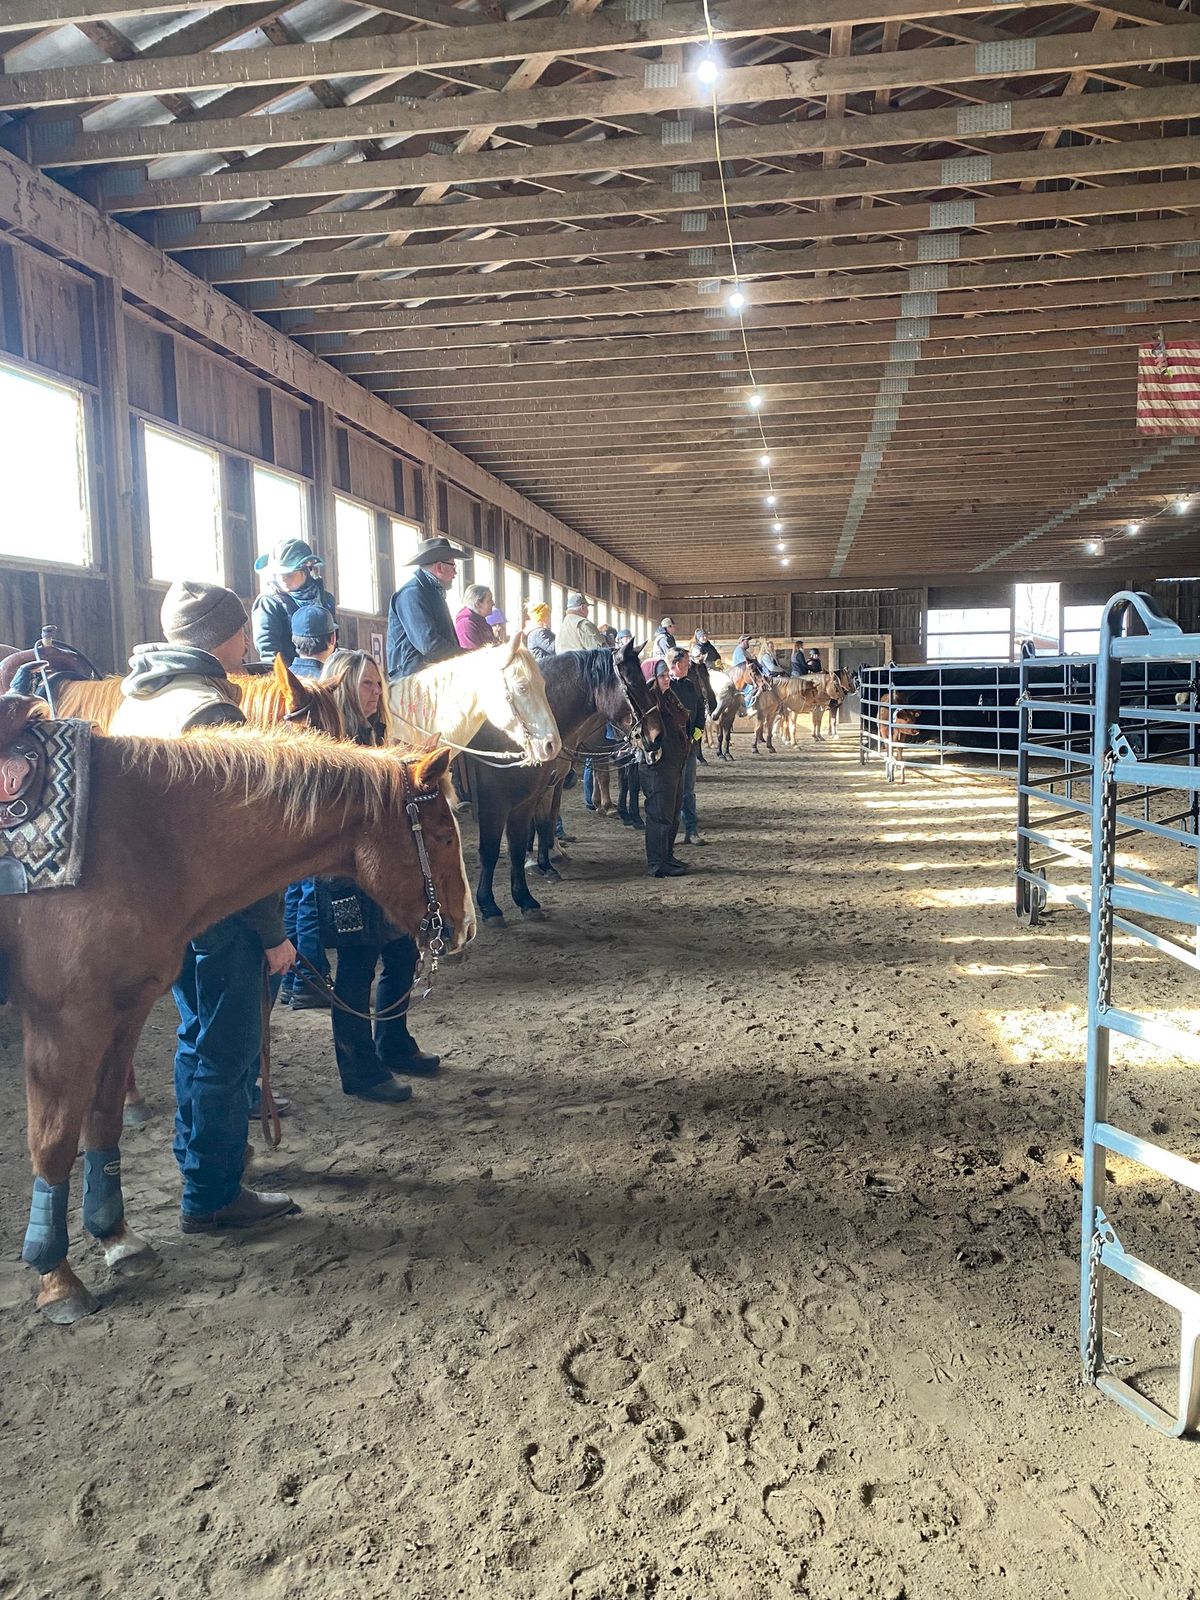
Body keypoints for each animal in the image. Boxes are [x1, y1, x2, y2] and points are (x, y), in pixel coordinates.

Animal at [0, 700, 473, 1324]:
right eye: (441, 835)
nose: (466, 928)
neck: (135, 833)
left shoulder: (123, 1009)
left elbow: (103, 1119)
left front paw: (117, 1238)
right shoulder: (63, 1022)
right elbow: (53, 1141)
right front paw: (57, 1279)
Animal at [467, 640, 668, 928]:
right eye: (633, 683)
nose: (657, 735)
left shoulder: (535, 794)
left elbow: (530, 835)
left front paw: (528, 895)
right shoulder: (494, 802)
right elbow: (491, 850)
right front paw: (489, 906)